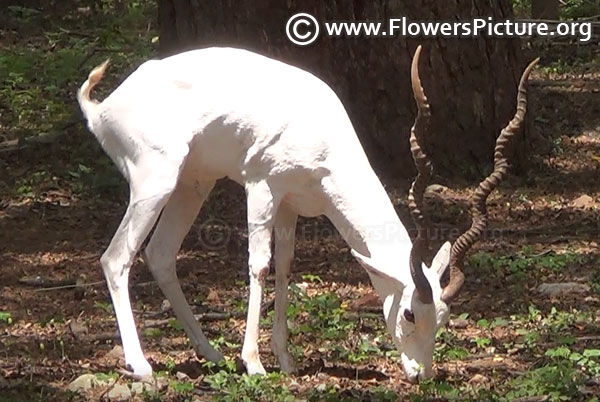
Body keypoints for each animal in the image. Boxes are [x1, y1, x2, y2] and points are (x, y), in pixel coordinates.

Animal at [76, 45, 540, 382]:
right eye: (410, 313)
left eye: (443, 318)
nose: (421, 375)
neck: (319, 132)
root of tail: (102, 108)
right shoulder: (262, 187)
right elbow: (259, 266)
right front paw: (255, 363)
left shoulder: (291, 204)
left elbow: (284, 268)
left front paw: (285, 359)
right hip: (155, 182)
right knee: (116, 258)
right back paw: (141, 366)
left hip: (193, 183)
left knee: (159, 254)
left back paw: (210, 353)